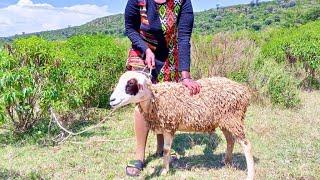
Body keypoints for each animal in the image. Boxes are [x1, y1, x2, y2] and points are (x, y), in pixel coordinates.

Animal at [110, 71, 255, 179]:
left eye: (131, 83)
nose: (111, 100)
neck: (156, 99)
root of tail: (244, 91)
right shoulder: (164, 125)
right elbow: (165, 149)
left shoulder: (169, 126)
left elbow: (166, 149)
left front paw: (164, 171)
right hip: (226, 121)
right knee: (230, 140)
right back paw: (226, 161)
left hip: (234, 119)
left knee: (246, 144)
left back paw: (250, 174)